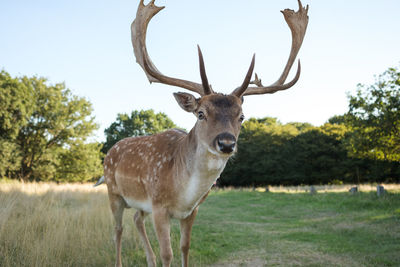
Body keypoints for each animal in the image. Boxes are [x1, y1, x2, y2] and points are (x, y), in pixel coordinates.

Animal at [94, 0, 310, 267]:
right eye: (200, 113)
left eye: (241, 116)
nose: (226, 143)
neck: (184, 193)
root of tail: (110, 151)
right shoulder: (158, 205)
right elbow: (168, 254)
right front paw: (162, 257)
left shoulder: (192, 210)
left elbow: (185, 247)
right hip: (113, 192)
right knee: (117, 230)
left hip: (138, 203)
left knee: (135, 220)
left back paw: (149, 260)